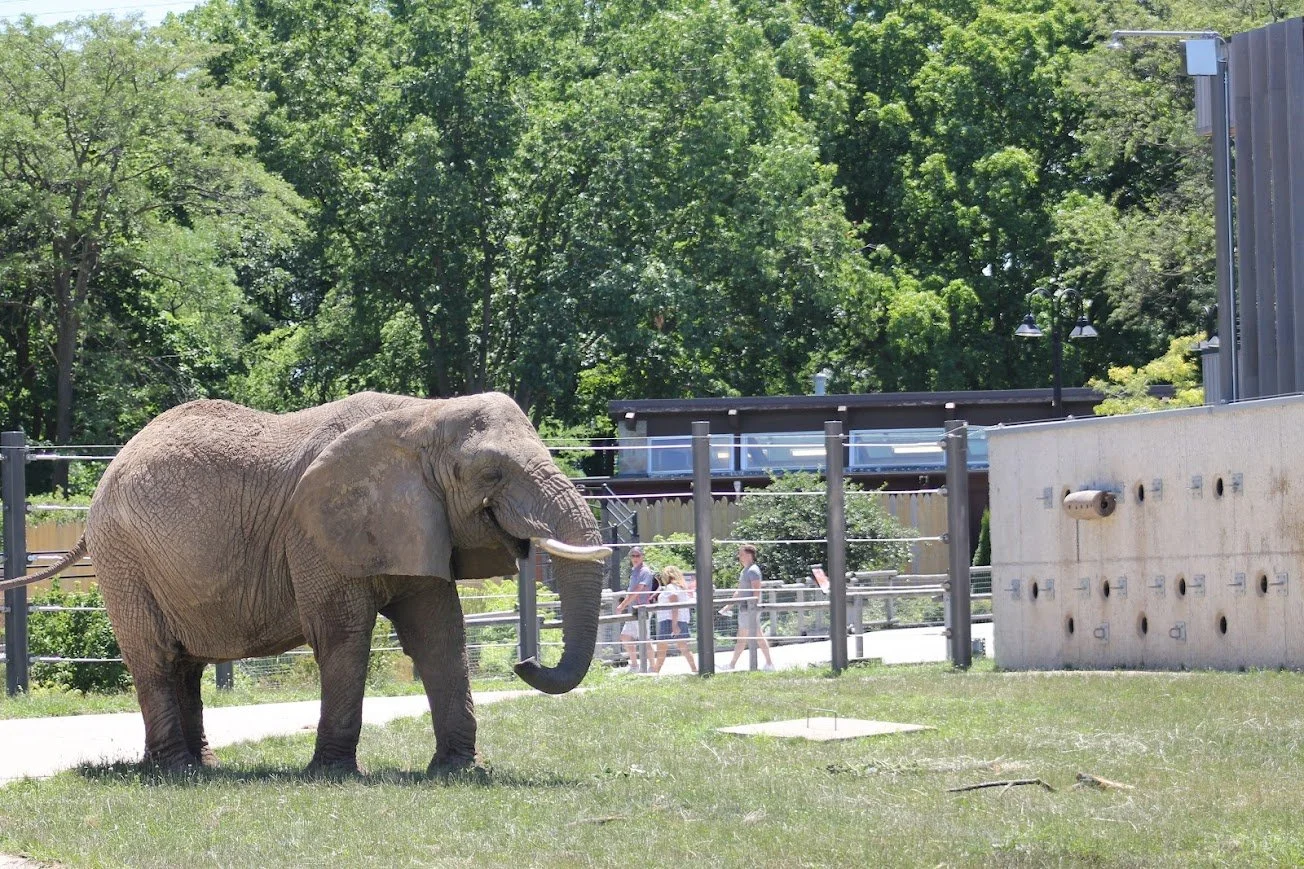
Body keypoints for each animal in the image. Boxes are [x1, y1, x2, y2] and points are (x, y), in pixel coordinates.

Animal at [16, 391, 609, 774]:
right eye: (490, 474)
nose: (524, 662)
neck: (421, 415)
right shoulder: (315, 532)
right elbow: (343, 636)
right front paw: (333, 775)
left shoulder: (417, 520)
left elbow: (439, 636)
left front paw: (458, 772)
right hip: (124, 557)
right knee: (156, 656)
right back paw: (175, 773)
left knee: (185, 662)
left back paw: (200, 766)